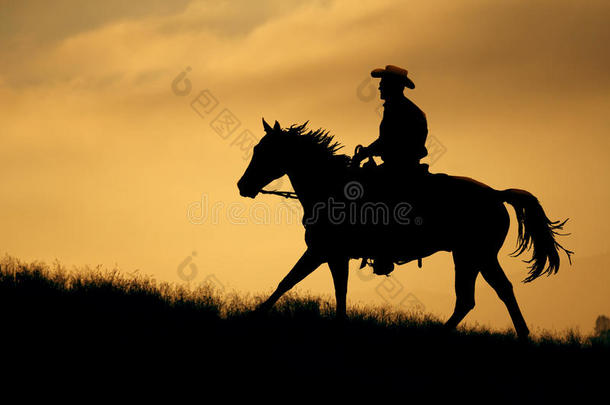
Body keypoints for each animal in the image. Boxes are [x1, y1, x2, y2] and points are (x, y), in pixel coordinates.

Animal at [236, 118, 568, 340]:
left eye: (264, 150)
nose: (242, 185)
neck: (330, 188)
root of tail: (497, 194)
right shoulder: (332, 255)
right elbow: (331, 290)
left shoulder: (322, 252)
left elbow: (288, 282)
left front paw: (251, 318)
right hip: (473, 257)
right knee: (487, 294)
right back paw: (519, 335)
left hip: (473, 256)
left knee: (479, 295)